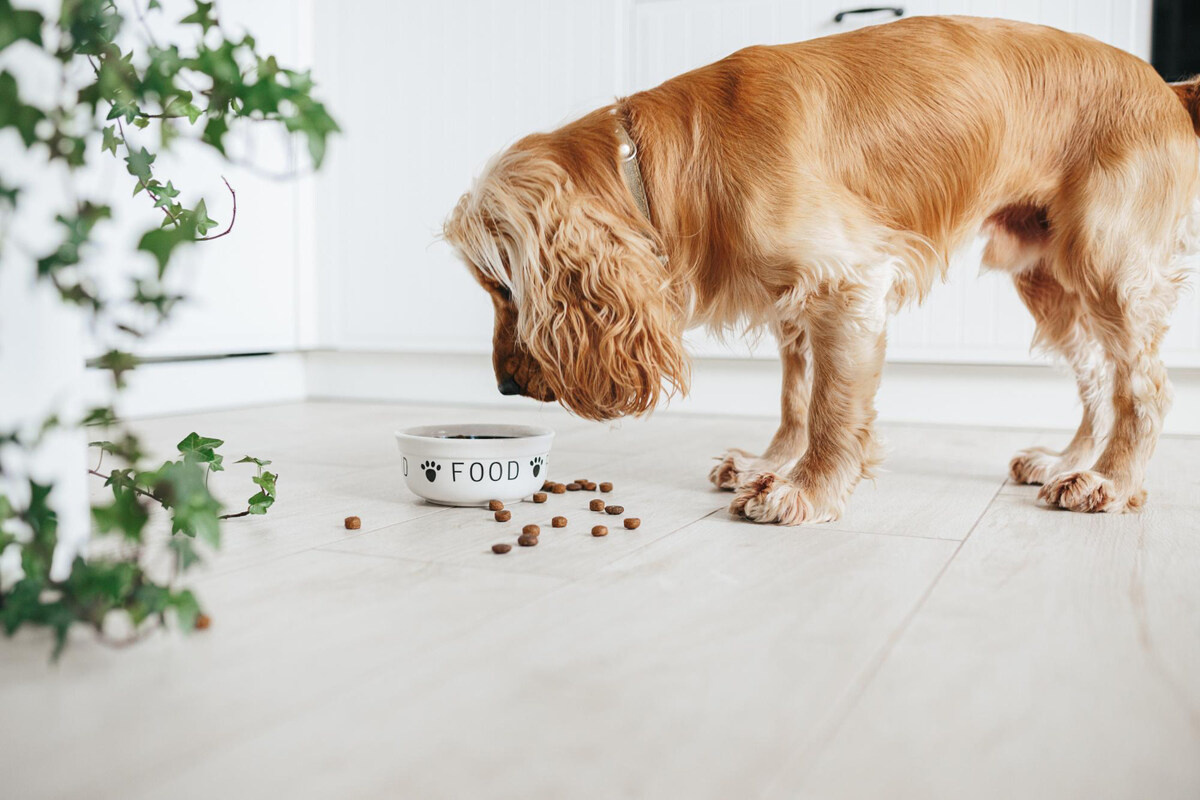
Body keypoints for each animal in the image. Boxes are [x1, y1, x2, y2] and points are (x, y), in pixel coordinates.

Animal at [444, 15, 1200, 525]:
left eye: (504, 286)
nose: (505, 385)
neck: (660, 164)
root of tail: (1167, 87)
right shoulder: (796, 305)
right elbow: (796, 398)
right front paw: (768, 464)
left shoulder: (847, 284)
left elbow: (834, 408)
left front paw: (803, 490)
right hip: (1047, 279)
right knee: (1099, 377)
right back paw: (1068, 463)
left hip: (1111, 267)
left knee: (1147, 390)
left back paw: (1109, 483)